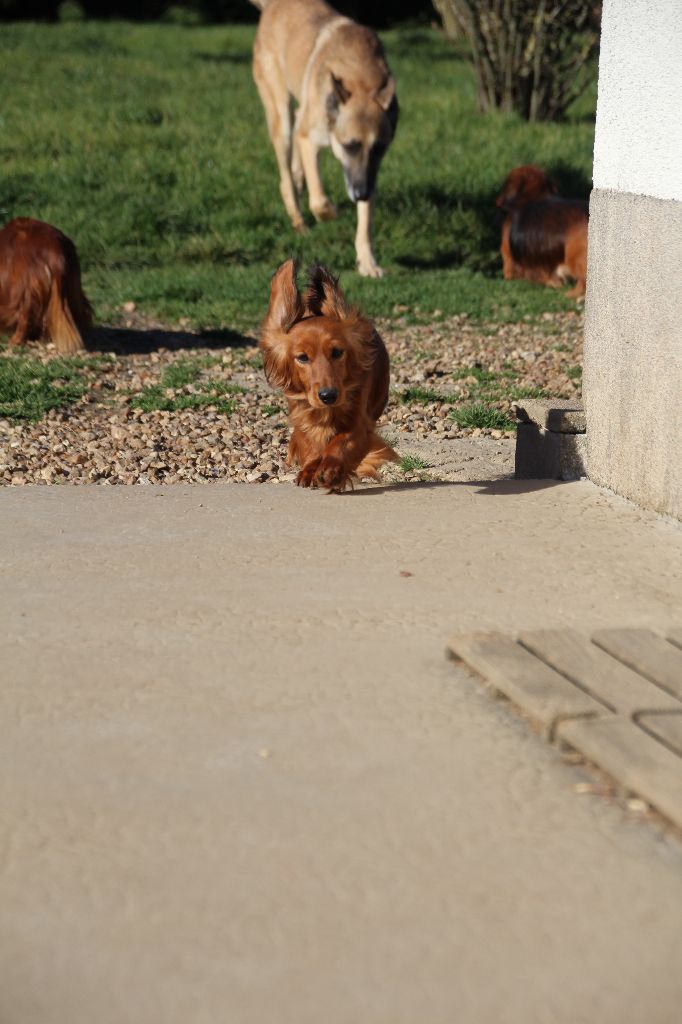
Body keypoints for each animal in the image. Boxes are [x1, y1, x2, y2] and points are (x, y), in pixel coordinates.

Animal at [250, 0, 398, 278]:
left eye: (379, 148)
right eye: (350, 145)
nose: (360, 194)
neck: (359, 74)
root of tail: (273, 5)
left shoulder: (369, 171)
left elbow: (365, 221)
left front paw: (368, 262)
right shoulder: (309, 140)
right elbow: (318, 198)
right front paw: (329, 213)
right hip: (281, 117)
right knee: (286, 177)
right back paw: (299, 221)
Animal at [259, 259, 398, 491]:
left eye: (337, 352)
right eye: (302, 357)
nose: (328, 396)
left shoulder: (360, 422)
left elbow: (342, 441)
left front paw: (331, 469)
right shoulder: (303, 413)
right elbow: (310, 442)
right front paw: (310, 469)